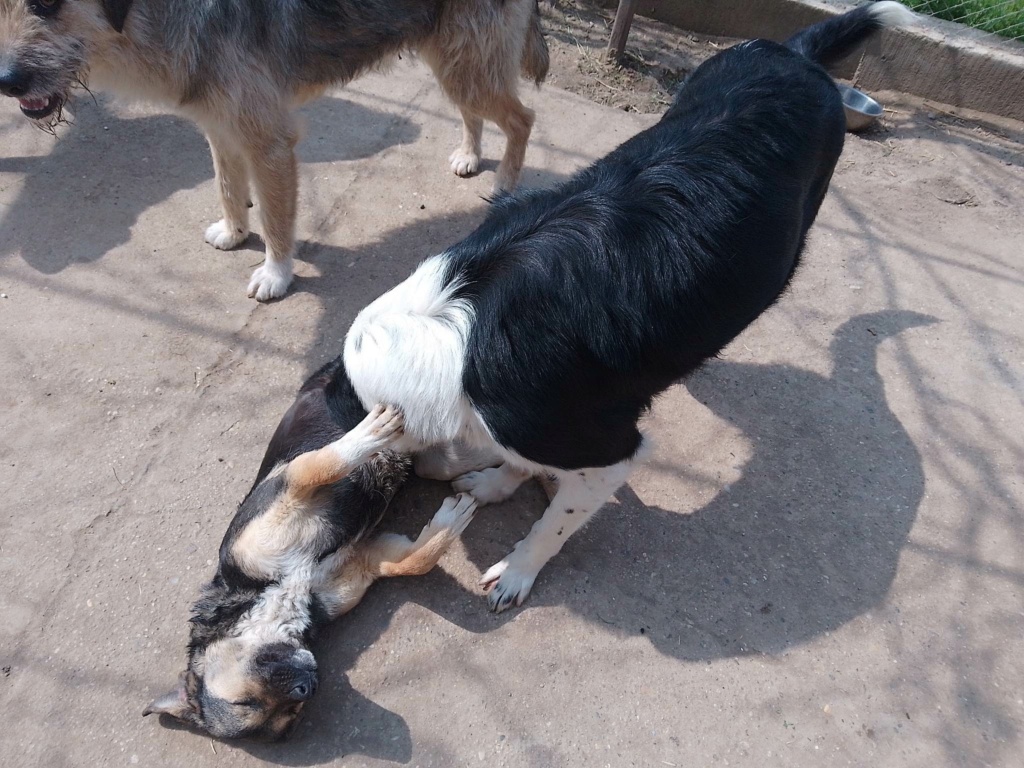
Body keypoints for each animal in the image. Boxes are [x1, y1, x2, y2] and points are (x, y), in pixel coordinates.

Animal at [0, 0, 552, 301]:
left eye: (47, 2)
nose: (5, 81)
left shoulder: (269, 143)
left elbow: (277, 220)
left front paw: (276, 274)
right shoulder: (220, 127)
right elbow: (227, 187)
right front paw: (233, 231)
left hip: (467, 64)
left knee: (523, 118)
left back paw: (505, 181)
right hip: (454, 61)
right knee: (475, 110)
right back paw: (469, 154)